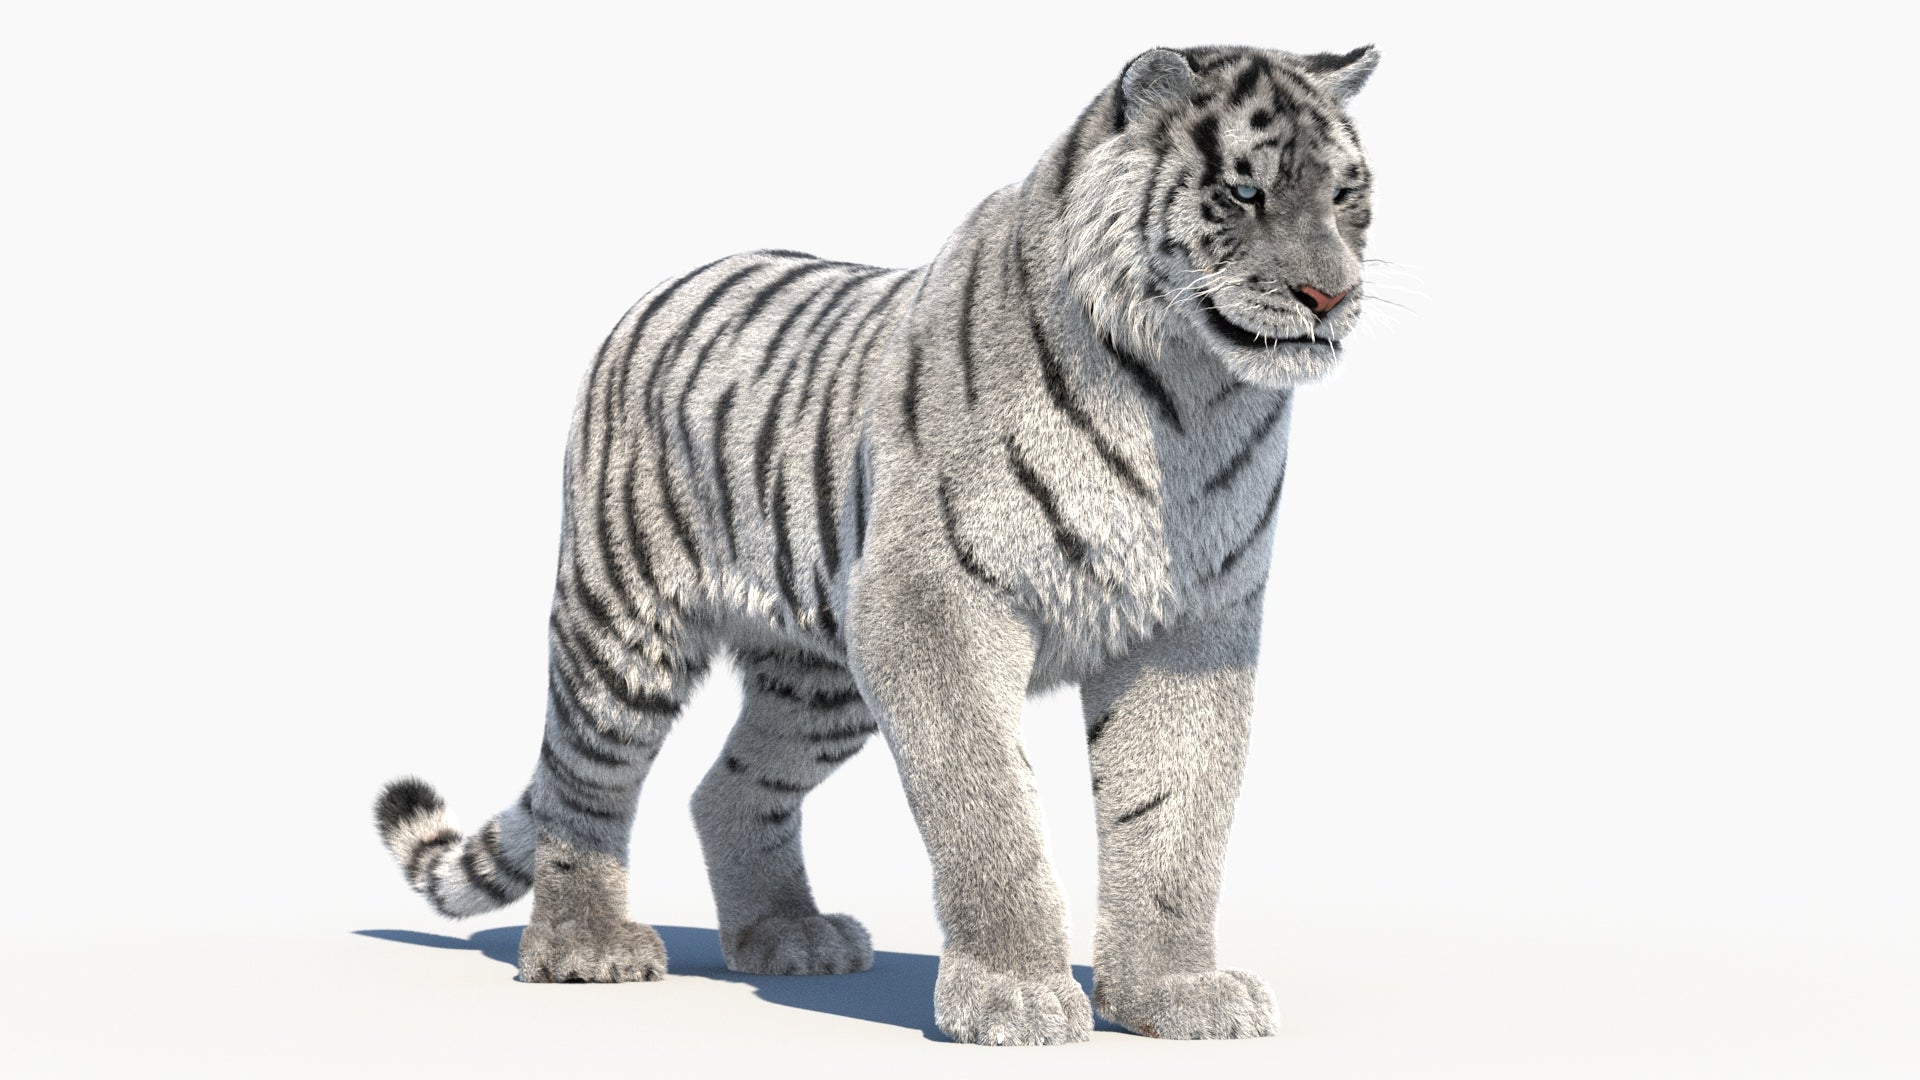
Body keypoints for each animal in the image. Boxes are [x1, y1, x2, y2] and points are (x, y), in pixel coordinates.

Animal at [374, 43, 1380, 1045]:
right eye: (1243, 193)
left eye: (1345, 197)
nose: (1330, 294)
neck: (1184, 392)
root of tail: (666, 287)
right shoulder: (935, 604)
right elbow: (990, 807)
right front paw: (1014, 996)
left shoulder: (1194, 625)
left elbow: (1173, 818)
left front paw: (1173, 993)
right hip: (623, 626)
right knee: (583, 787)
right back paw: (586, 946)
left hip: (822, 677)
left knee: (728, 788)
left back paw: (788, 936)